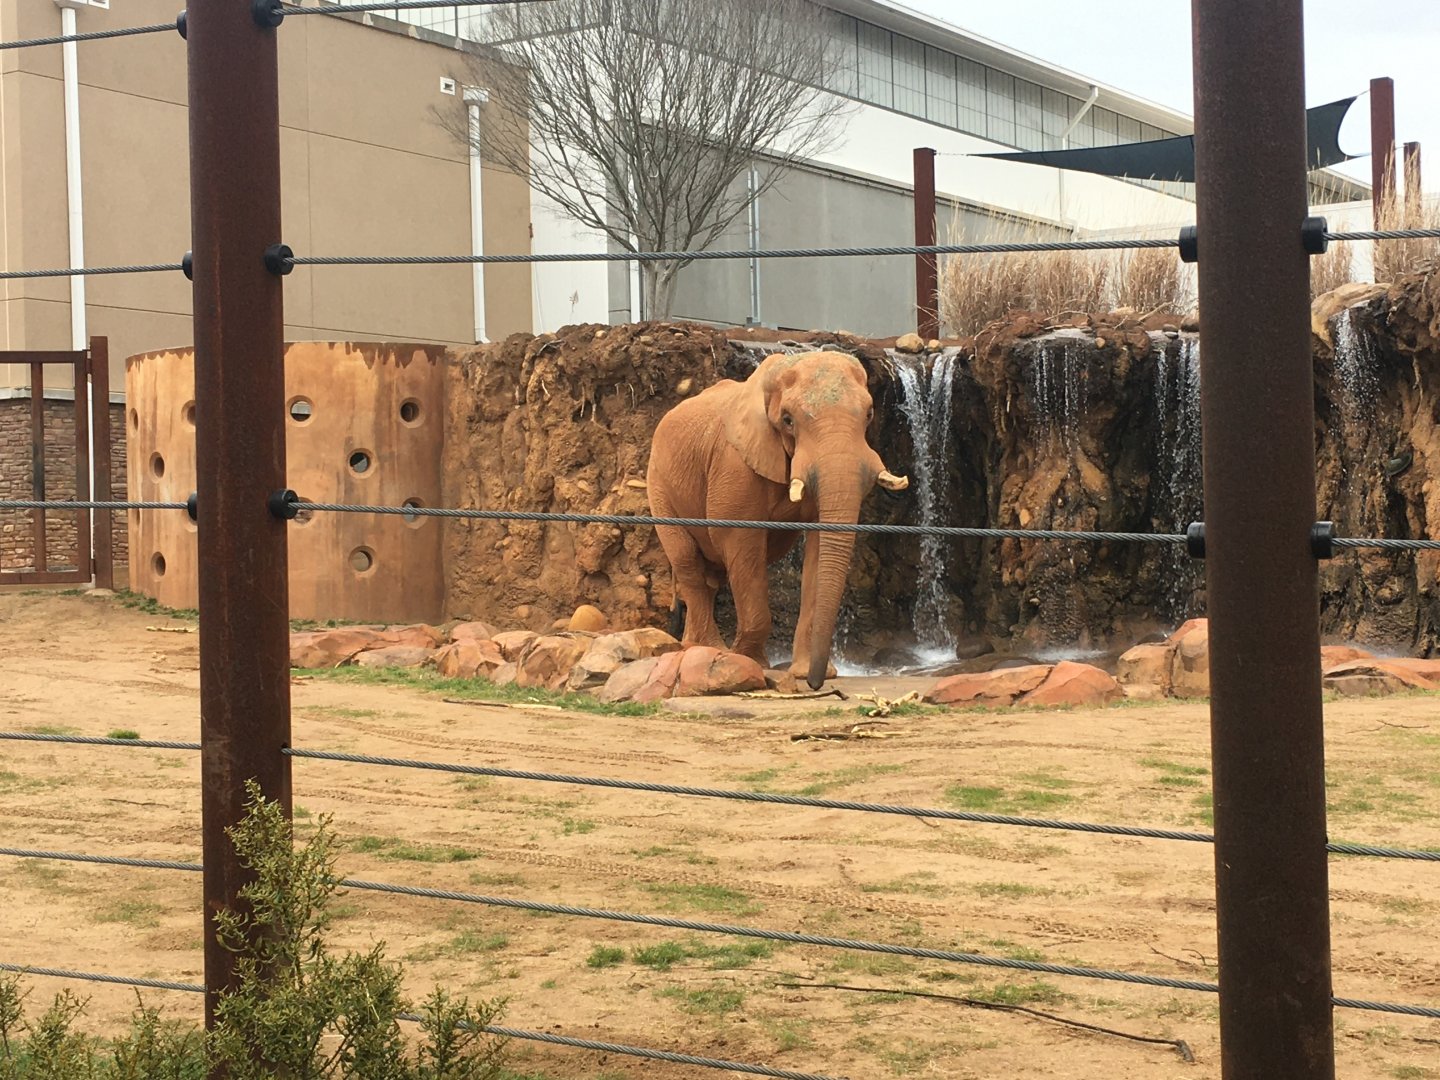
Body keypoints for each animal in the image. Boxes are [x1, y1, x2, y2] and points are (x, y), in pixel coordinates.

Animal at [646, 349, 909, 689]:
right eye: (787, 420)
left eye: (869, 414)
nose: (816, 684)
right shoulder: (734, 464)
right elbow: (743, 544)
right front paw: (750, 661)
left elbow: (819, 547)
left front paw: (804, 671)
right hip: (658, 485)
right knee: (687, 560)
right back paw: (710, 648)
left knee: (711, 574)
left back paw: (694, 646)